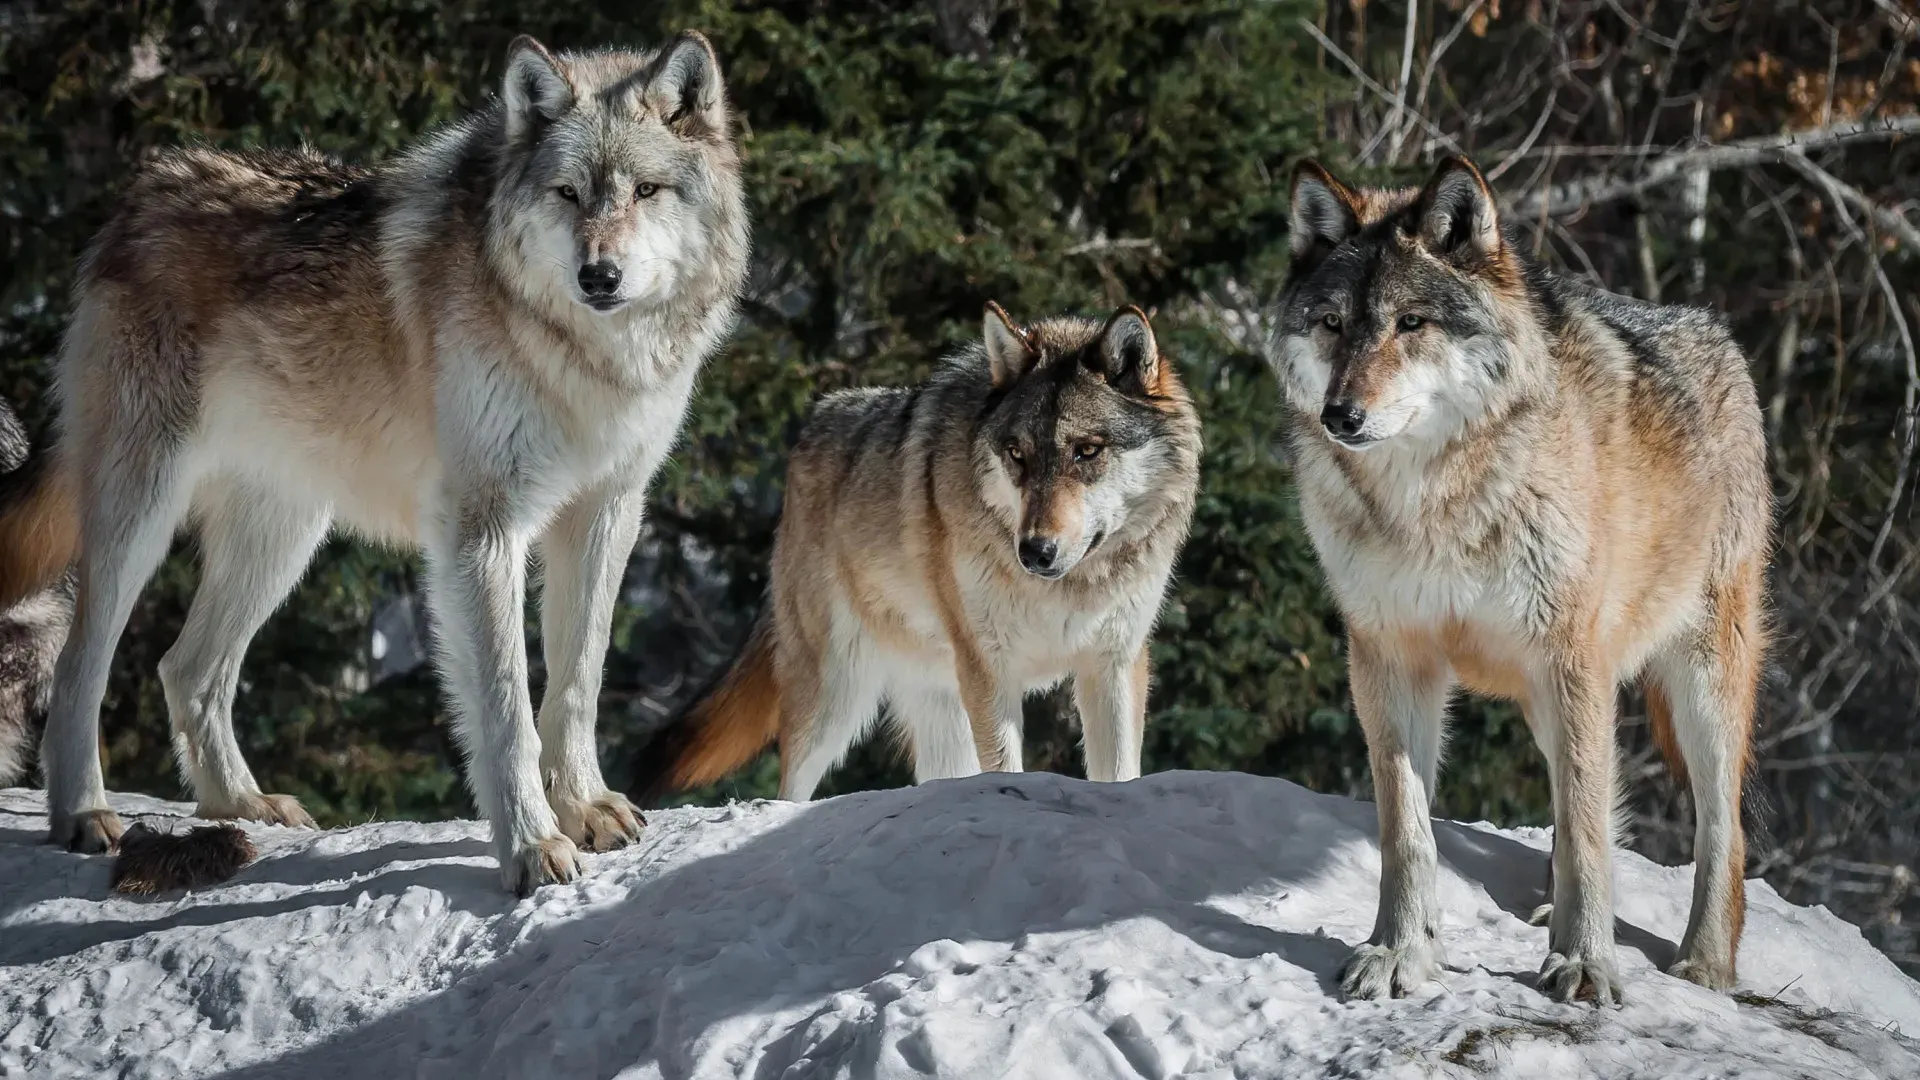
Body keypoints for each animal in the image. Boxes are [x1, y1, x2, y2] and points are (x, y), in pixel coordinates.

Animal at [0, 33, 750, 893]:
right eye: (567, 193)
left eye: (646, 191)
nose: (599, 276)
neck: (583, 357)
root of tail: (138, 196)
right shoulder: (482, 527)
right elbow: (505, 706)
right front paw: (531, 847)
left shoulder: (607, 512)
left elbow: (578, 684)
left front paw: (586, 809)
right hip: (142, 516)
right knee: (81, 666)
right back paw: (84, 814)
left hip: (283, 540)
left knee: (184, 668)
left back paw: (243, 806)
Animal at [631, 303, 1202, 803]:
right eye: (1016, 454)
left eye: (1087, 451)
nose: (1035, 552)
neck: (1067, 590)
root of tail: (812, 424)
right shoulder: (990, 669)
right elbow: (1006, 766)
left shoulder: (1114, 662)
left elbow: (1119, 774)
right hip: (834, 697)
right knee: (790, 786)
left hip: (934, 705)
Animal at [1270, 156, 1769, 1004]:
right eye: (1333, 324)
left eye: (1412, 324)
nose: (1342, 415)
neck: (1433, 504)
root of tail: (1717, 333)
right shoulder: (1389, 657)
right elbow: (1406, 833)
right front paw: (1398, 952)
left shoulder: (1572, 658)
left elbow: (1591, 829)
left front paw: (1586, 964)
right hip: (1545, 696)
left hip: (1693, 680)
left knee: (1717, 830)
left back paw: (1704, 964)